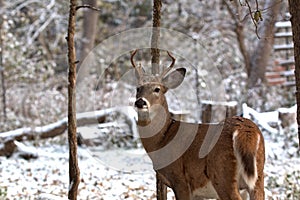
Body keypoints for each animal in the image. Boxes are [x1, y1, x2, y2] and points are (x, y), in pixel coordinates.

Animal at [132, 50, 264, 200]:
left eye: (157, 89)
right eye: (138, 88)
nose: (140, 102)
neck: (162, 140)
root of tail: (245, 130)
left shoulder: (180, 179)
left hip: (222, 174)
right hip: (257, 177)